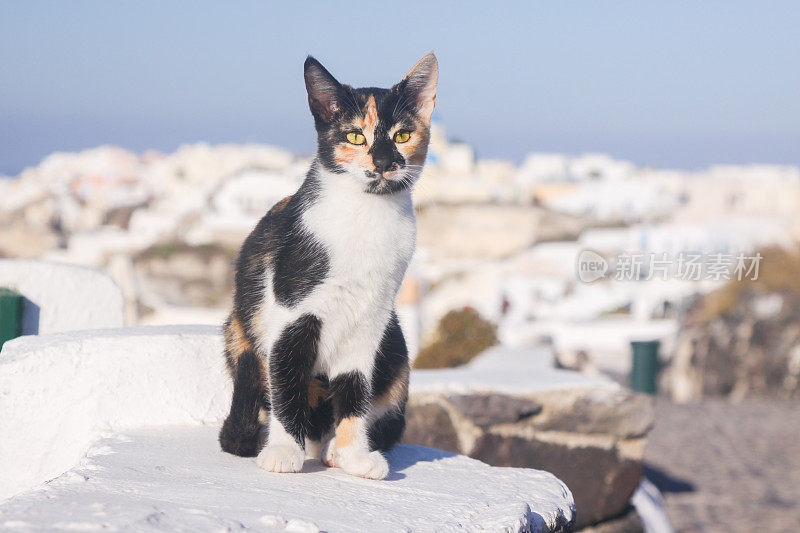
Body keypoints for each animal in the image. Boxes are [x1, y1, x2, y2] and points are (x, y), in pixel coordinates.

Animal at [217, 52, 438, 480]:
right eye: (355, 137)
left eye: (402, 135)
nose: (384, 162)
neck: (367, 217)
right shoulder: (291, 315)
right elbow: (286, 380)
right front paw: (284, 451)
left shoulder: (371, 319)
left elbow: (355, 390)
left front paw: (353, 454)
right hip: (238, 329)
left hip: (396, 346)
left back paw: (333, 449)